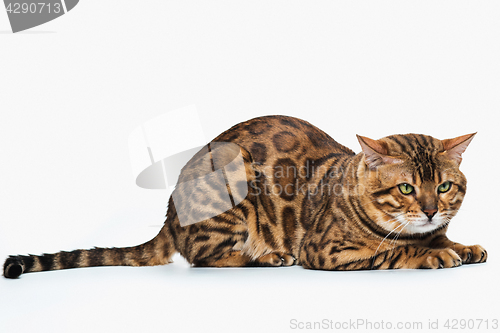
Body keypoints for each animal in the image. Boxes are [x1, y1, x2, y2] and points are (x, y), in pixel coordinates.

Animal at [3, 115, 486, 276]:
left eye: (443, 186)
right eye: (406, 188)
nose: (430, 210)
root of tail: (169, 216)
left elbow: (442, 238)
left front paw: (461, 245)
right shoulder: (327, 250)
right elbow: (393, 251)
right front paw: (431, 254)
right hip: (234, 193)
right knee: (203, 257)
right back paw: (267, 256)